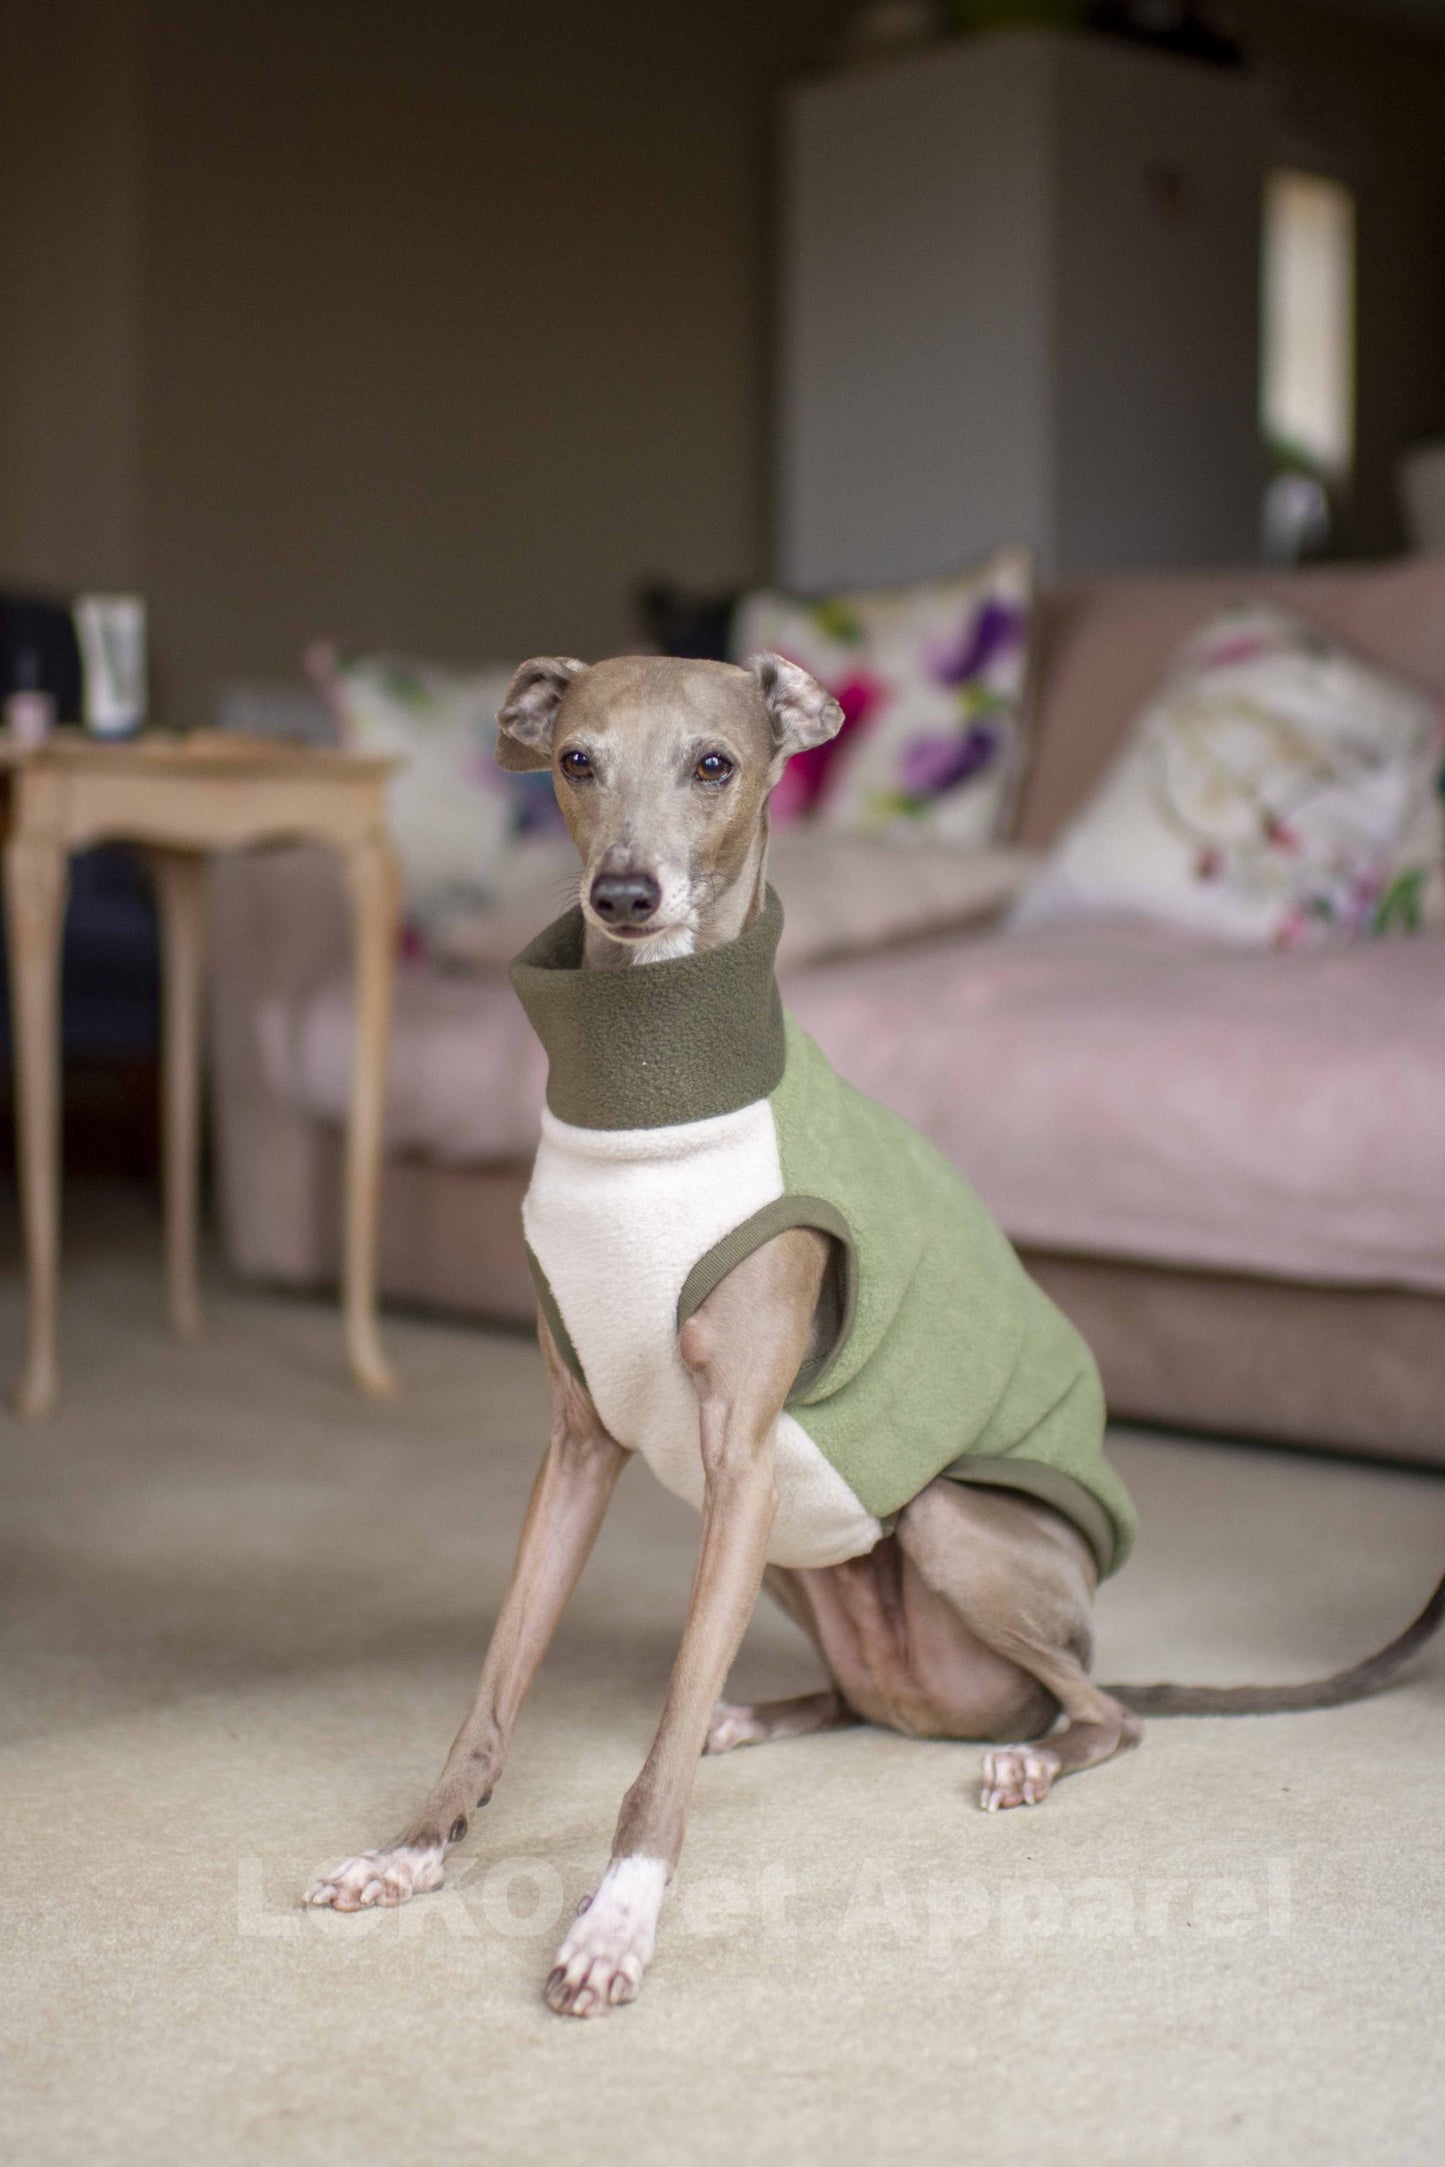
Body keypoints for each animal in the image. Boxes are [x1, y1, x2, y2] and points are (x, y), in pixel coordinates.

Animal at [307, 654, 1445, 2010]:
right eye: (576, 760)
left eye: (714, 763)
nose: (624, 895)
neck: (645, 1086)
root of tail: (951, 1709)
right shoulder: (580, 1449)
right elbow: (496, 1684)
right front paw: (410, 1850)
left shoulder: (741, 1453)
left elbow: (658, 1742)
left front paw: (616, 1917)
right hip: (791, 1558)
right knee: (858, 1699)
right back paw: (761, 1715)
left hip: (942, 1523)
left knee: (1106, 1710)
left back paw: (1030, 1755)